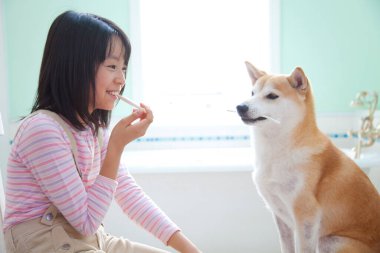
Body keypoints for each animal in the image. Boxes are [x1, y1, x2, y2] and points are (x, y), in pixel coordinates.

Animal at [238, 61, 380, 253]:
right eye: (252, 93)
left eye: (272, 96)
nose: (240, 107)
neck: (279, 151)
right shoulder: (280, 216)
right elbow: (286, 247)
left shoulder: (307, 217)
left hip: (332, 241)